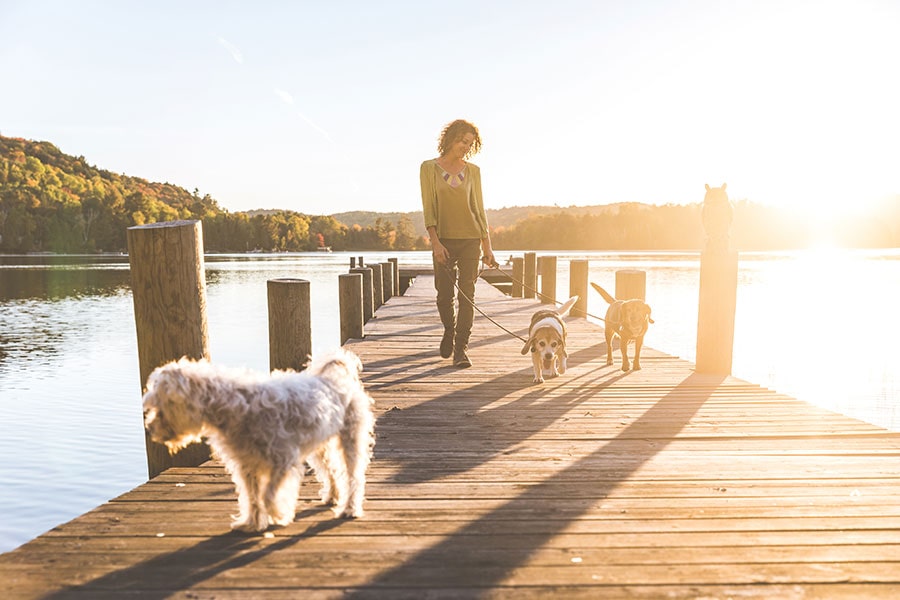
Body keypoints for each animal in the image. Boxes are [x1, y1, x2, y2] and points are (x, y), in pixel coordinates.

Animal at [142, 350, 374, 532]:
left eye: (160, 408)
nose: (150, 429)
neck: (234, 406)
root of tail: (335, 377)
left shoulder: (283, 461)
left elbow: (268, 495)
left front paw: (278, 513)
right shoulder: (247, 466)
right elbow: (252, 497)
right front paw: (251, 523)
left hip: (351, 441)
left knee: (354, 477)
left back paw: (349, 509)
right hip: (319, 447)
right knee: (331, 471)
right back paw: (333, 496)